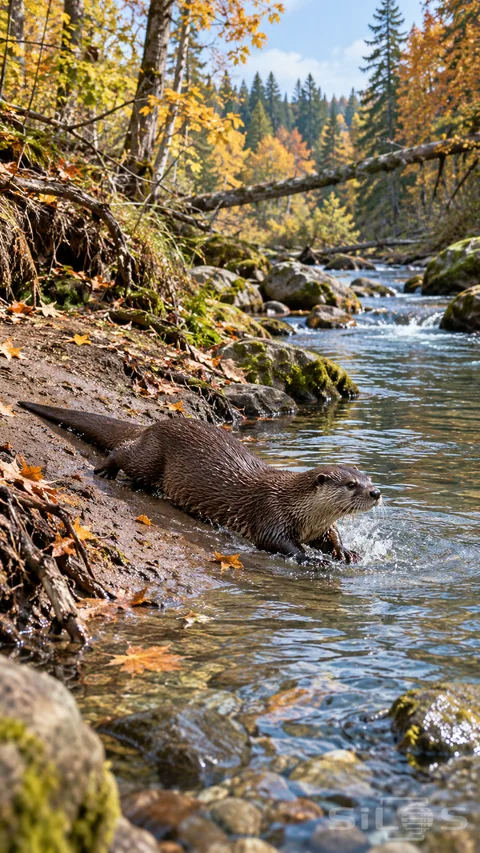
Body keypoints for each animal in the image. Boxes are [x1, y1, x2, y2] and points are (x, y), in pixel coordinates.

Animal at [18, 402, 381, 564]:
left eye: (368, 477)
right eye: (351, 484)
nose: (376, 492)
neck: (298, 508)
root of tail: (153, 425)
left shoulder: (317, 526)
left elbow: (331, 536)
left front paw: (345, 551)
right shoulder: (271, 514)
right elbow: (277, 543)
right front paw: (310, 558)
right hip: (151, 457)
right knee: (124, 453)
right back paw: (106, 470)